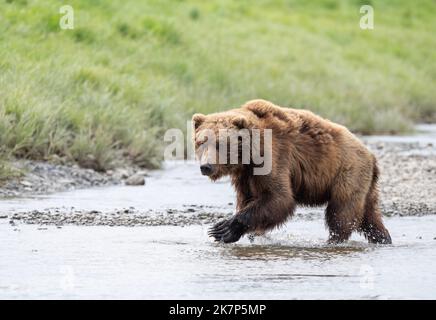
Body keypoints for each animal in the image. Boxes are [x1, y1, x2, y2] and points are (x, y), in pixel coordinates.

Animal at [192, 99, 392, 244]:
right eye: (201, 142)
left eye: (220, 144)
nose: (206, 167)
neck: (248, 157)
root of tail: (371, 155)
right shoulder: (245, 175)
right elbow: (248, 198)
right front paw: (245, 234)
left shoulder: (274, 156)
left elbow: (279, 197)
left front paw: (223, 228)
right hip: (366, 184)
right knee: (370, 216)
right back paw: (383, 238)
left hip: (348, 171)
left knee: (341, 211)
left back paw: (334, 241)